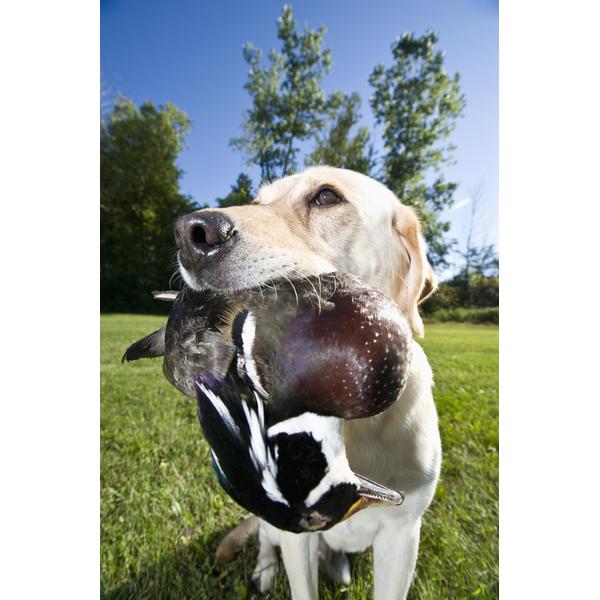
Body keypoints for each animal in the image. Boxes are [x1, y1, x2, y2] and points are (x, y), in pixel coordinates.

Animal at [176, 165, 438, 600]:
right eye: (258, 201)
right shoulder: (295, 534)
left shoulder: (402, 535)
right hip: (273, 527)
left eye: (327, 196)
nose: (190, 233)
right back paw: (266, 570)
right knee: (265, 541)